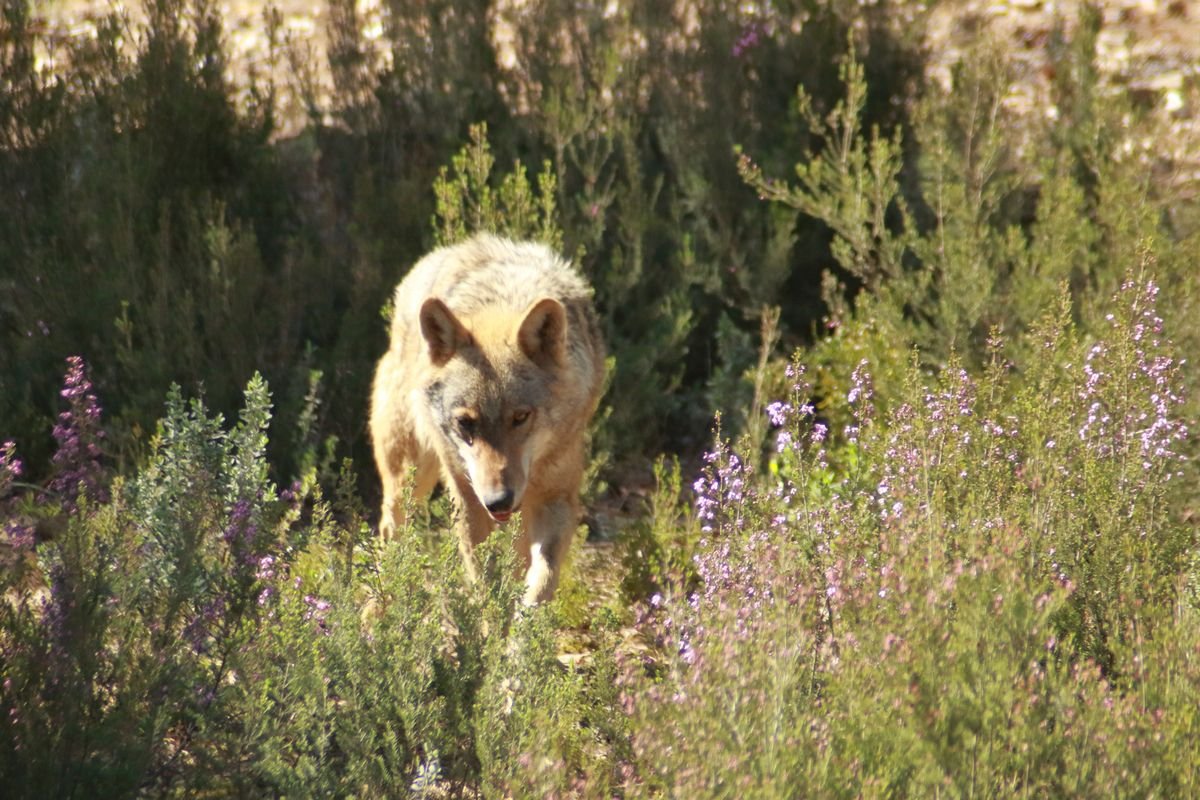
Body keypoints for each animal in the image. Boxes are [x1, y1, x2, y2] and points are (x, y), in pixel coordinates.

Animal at [369, 234, 606, 605]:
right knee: (390, 539)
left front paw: (525, 619)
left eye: (521, 417)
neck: (499, 305)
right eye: (466, 423)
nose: (499, 500)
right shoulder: (469, 500)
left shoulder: (557, 498)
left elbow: (541, 581)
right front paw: (493, 619)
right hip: (408, 477)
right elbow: (487, 586)